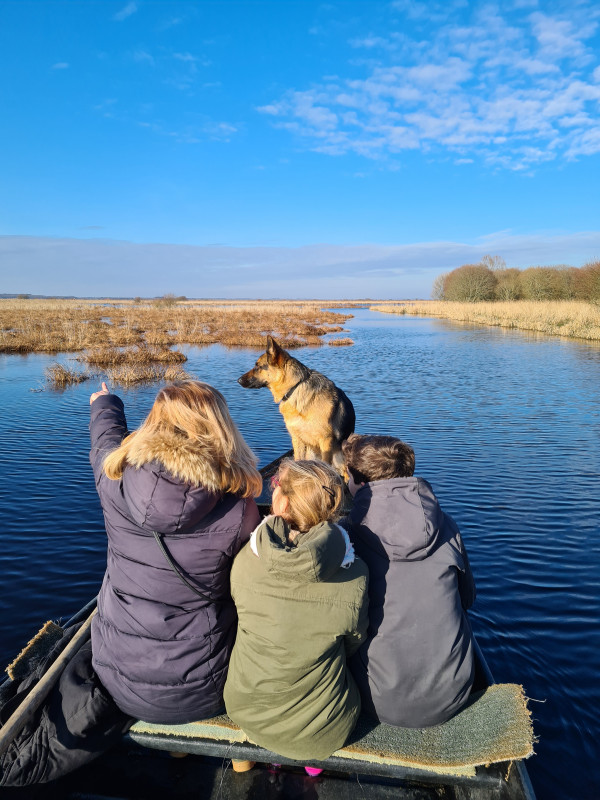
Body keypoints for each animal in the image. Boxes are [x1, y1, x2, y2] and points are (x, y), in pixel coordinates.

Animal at [237, 334, 354, 472]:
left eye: (257, 366)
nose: (238, 380)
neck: (294, 387)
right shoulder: (297, 439)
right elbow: (298, 462)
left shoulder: (326, 442)